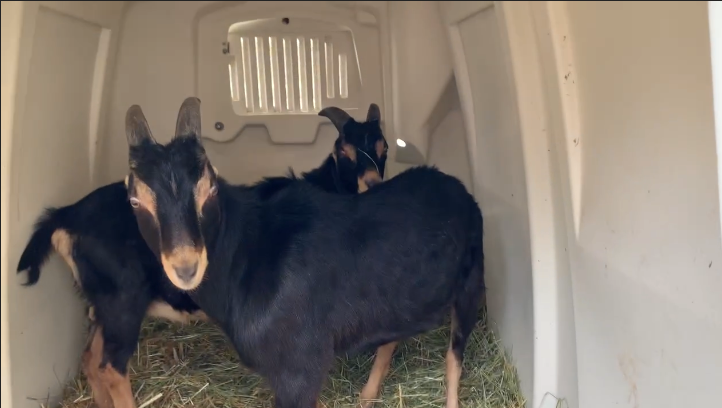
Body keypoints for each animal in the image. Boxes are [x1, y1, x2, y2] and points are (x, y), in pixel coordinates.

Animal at [15, 103, 388, 408]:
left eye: (383, 147)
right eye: (344, 150)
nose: (372, 183)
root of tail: (67, 217)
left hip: (101, 304)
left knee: (90, 360)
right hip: (122, 301)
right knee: (110, 367)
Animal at [124, 97, 485, 408]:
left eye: (210, 187)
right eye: (134, 199)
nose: (186, 266)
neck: (247, 252)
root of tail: (456, 186)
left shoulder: (300, 368)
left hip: (471, 281)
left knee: (454, 356)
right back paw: (367, 394)